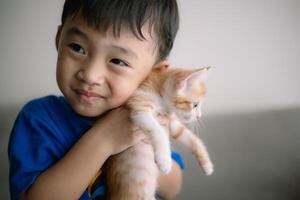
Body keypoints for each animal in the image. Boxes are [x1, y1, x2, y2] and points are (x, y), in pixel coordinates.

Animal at [103, 67, 213, 200]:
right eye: (195, 105)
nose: (199, 116)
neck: (159, 93)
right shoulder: (139, 107)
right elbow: (158, 131)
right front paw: (164, 160)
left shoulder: (172, 123)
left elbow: (192, 139)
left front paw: (207, 165)